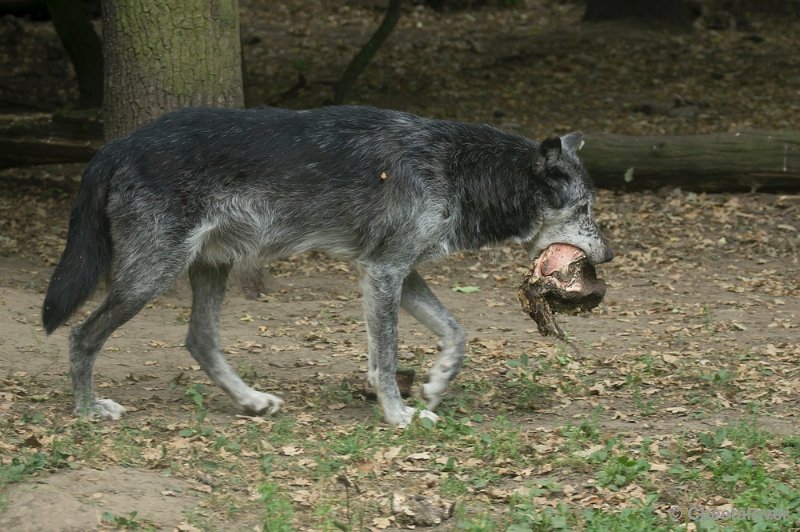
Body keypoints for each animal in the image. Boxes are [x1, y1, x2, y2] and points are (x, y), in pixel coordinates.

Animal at [40, 106, 612, 426]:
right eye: (585, 209)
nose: (608, 255)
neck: (458, 168)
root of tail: (116, 144)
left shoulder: (401, 272)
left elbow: (456, 333)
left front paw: (433, 386)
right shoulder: (383, 273)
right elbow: (385, 360)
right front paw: (398, 415)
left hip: (210, 268)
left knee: (199, 341)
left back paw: (252, 403)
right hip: (151, 276)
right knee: (82, 336)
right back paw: (89, 412)